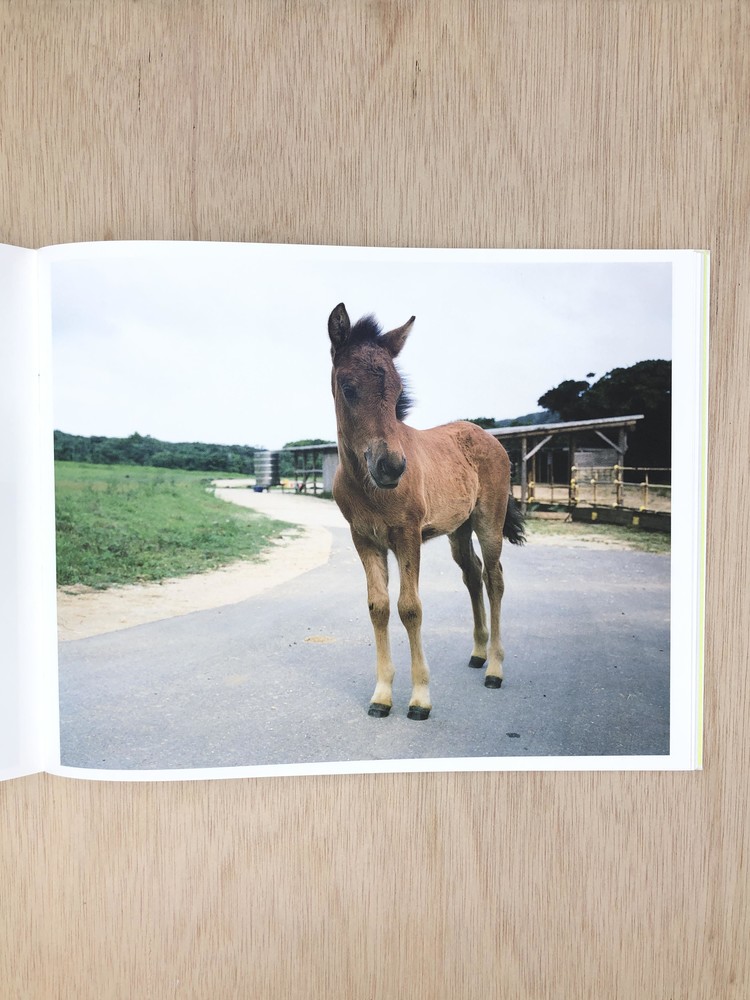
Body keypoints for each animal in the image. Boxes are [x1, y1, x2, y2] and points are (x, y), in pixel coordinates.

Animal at [328, 303, 525, 720]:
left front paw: (419, 698)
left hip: (489, 522)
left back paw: (495, 669)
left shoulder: (407, 535)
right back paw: (478, 653)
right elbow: (378, 606)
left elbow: (410, 608)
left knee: (495, 578)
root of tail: (489, 437)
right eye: (348, 389)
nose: (391, 466)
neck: (366, 486)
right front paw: (382, 695)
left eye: (398, 392)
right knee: (473, 574)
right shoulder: (363, 538)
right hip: (458, 530)